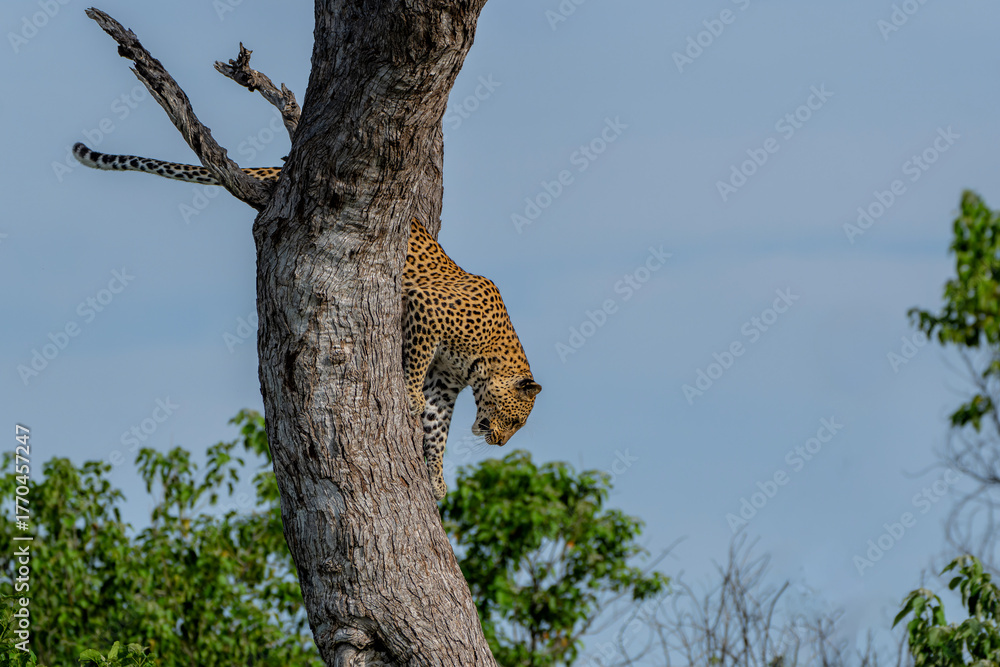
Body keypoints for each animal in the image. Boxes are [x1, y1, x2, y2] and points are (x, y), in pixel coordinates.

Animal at [73, 142, 542, 500]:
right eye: (515, 421)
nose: (498, 442)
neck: (486, 359)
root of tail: (278, 168)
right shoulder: (425, 312)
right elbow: (415, 373)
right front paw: (408, 399)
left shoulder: (445, 384)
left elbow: (437, 428)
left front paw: (437, 477)